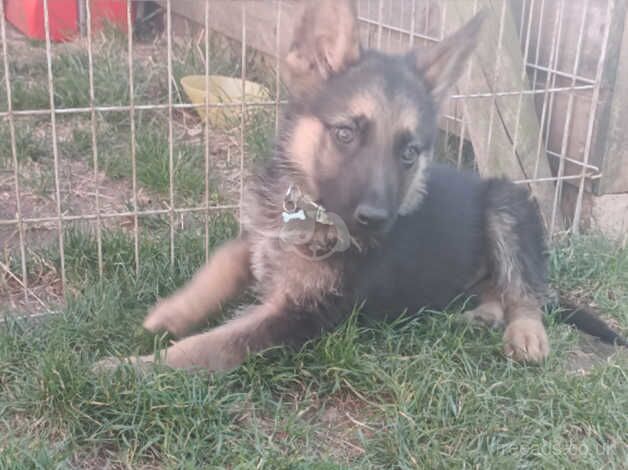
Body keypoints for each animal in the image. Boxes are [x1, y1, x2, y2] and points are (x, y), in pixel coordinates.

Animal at [98, 0, 624, 374]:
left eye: (409, 152)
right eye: (346, 133)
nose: (375, 220)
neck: (308, 213)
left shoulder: (299, 316)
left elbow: (210, 345)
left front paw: (128, 369)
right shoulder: (258, 241)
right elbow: (221, 263)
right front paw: (168, 313)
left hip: (506, 201)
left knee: (527, 290)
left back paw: (525, 334)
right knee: (498, 289)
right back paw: (481, 314)